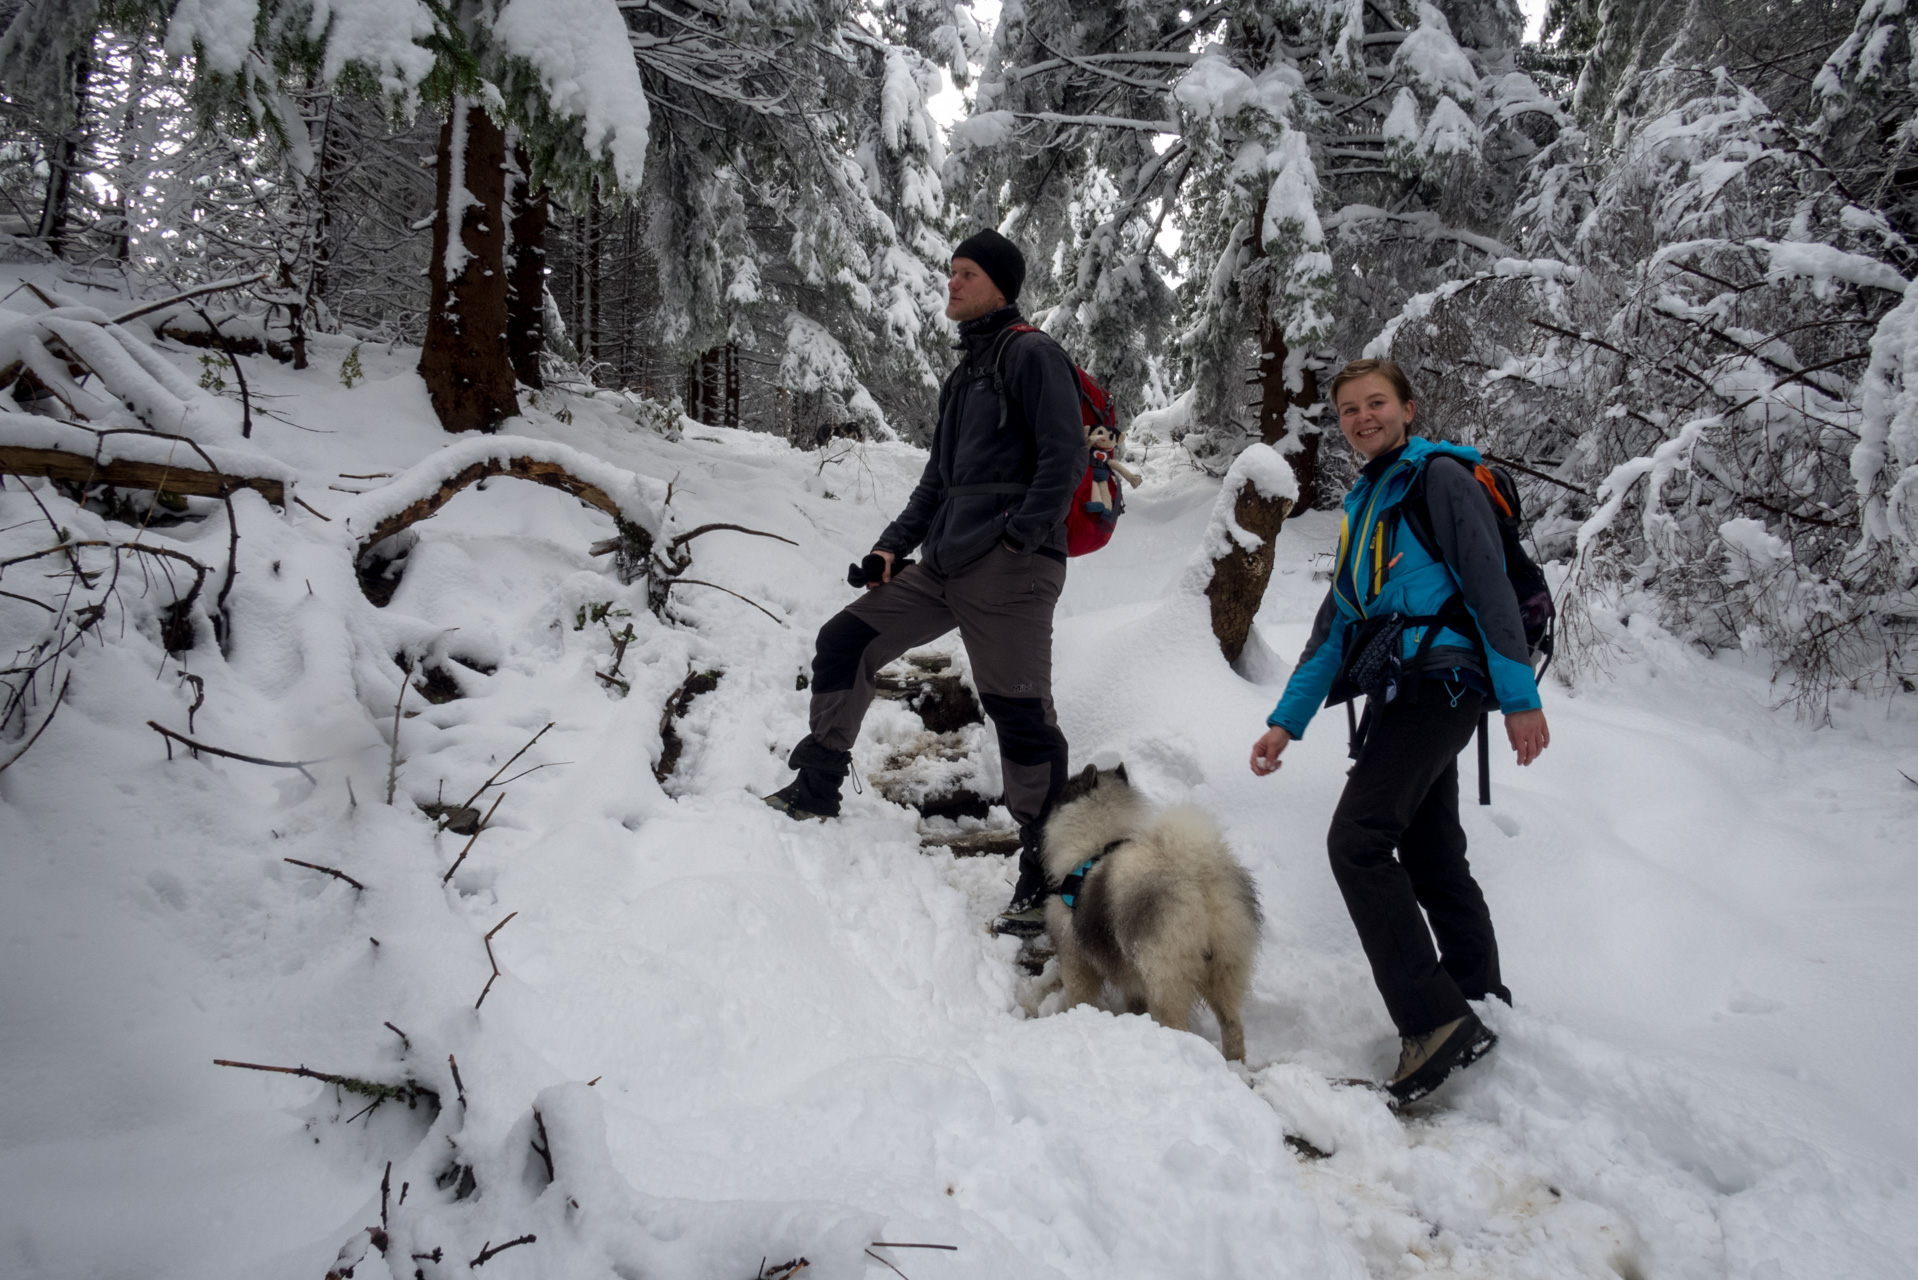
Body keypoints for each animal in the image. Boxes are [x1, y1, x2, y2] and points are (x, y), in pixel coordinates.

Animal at [1043, 767, 1265, 1059]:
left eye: (1064, 791)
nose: (1045, 803)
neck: (1098, 845)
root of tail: (1197, 876)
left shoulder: (1076, 959)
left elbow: (1079, 994)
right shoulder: (1130, 972)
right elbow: (1134, 1002)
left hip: (1166, 975)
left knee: (1177, 1021)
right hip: (1226, 968)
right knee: (1232, 1024)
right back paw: (1234, 1063)